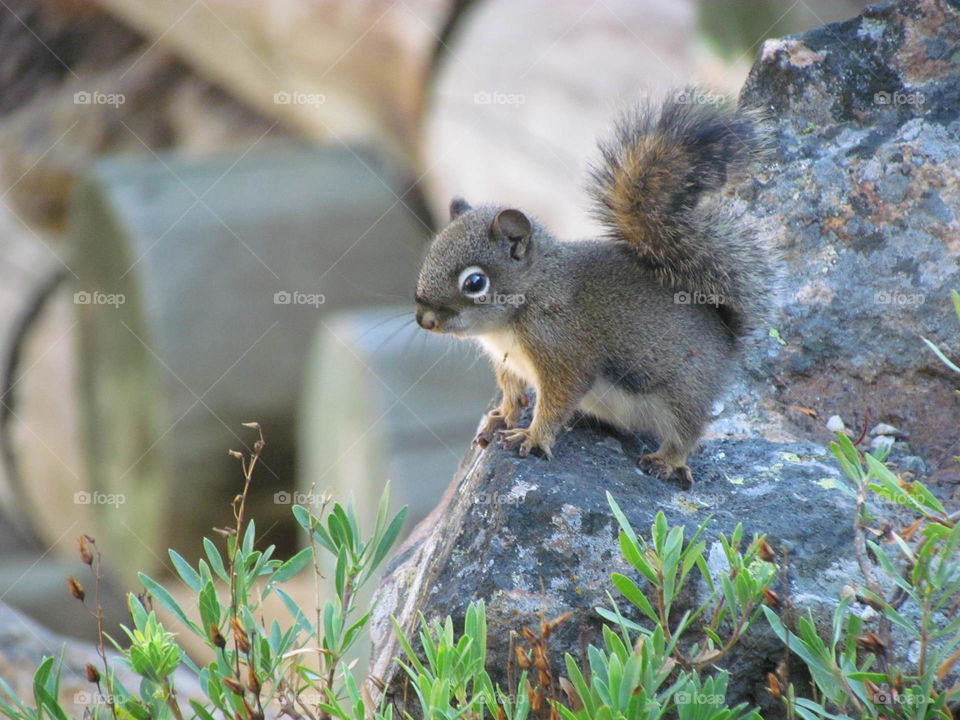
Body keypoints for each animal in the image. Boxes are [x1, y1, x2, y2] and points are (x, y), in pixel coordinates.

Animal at [414, 92, 775, 488]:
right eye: (429, 255)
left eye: (475, 282)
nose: (424, 320)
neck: (528, 299)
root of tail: (726, 338)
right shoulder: (508, 363)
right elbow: (513, 393)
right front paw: (502, 418)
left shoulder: (563, 350)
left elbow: (558, 399)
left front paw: (533, 437)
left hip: (685, 392)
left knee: (687, 432)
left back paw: (667, 461)